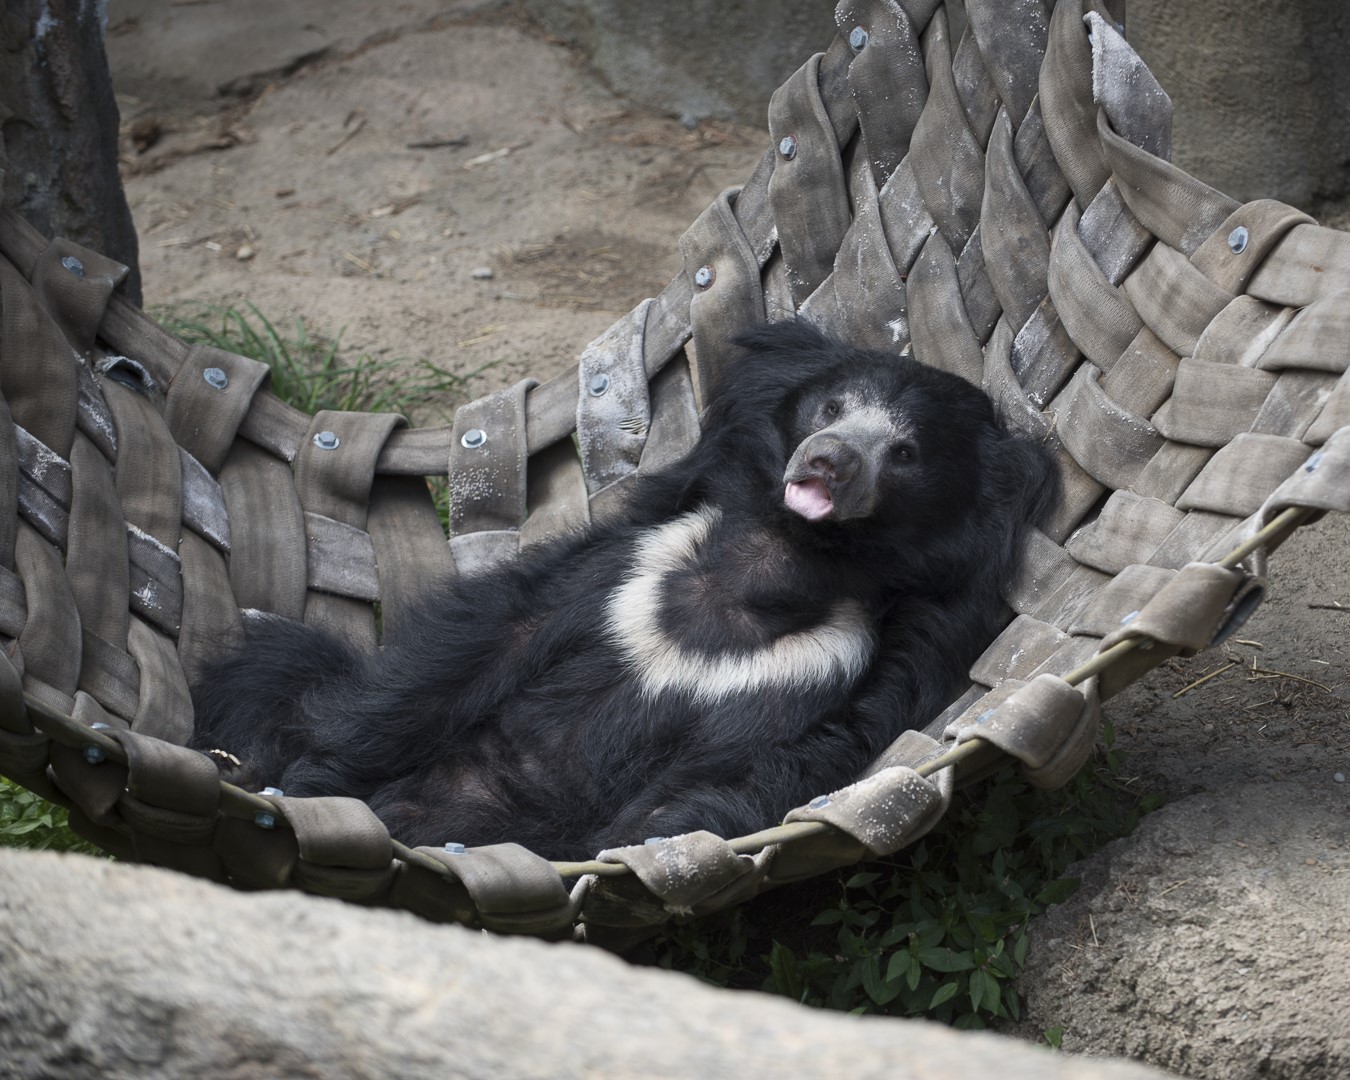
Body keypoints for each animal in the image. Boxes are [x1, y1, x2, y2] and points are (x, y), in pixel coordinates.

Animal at [190, 318, 1058, 858]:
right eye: (831, 406)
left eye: (906, 453)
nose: (828, 460)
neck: (777, 560)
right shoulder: (625, 569)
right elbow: (466, 653)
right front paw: (309, 781)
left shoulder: (850, 668)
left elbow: (763, 767)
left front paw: (630, 852)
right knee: (274, 667)